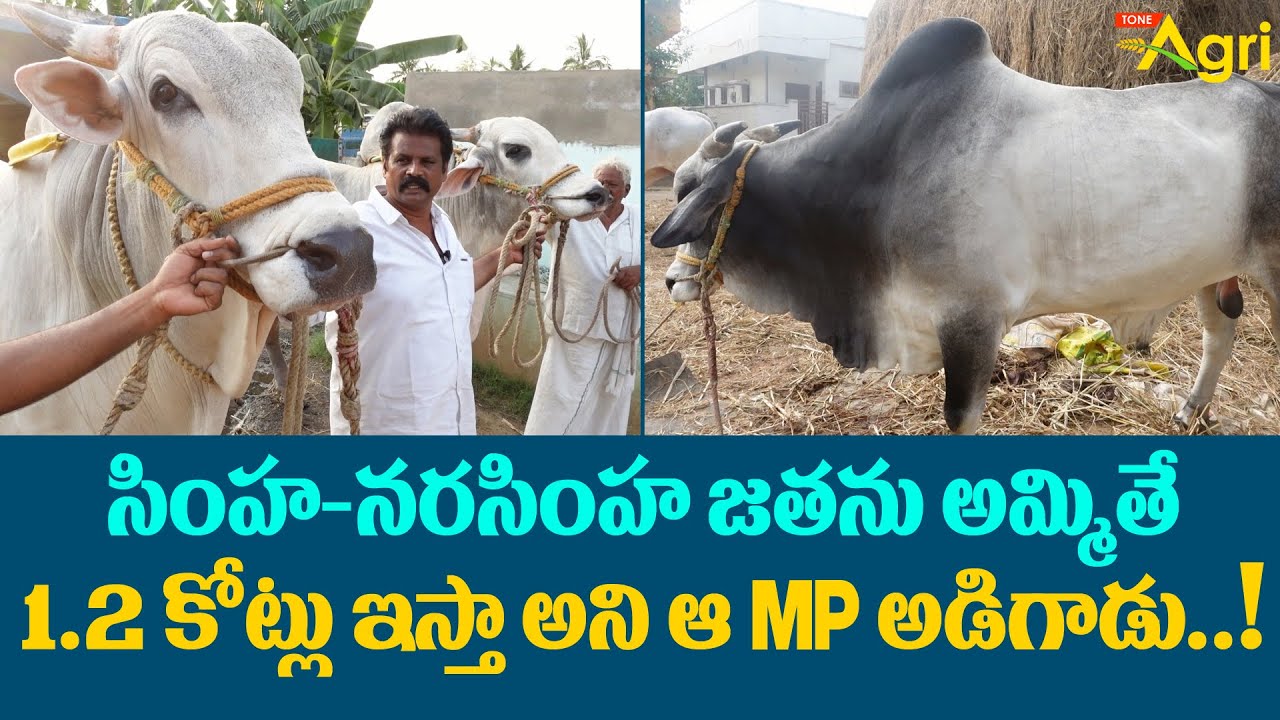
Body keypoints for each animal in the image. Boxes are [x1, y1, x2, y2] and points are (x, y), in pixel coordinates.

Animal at [652, 16, 1280, 435]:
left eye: (688, 193)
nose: (671, 282)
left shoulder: (973, 319)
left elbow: (959, 418)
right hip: (1211, 266)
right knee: (1219, 335)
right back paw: (1190, 410)